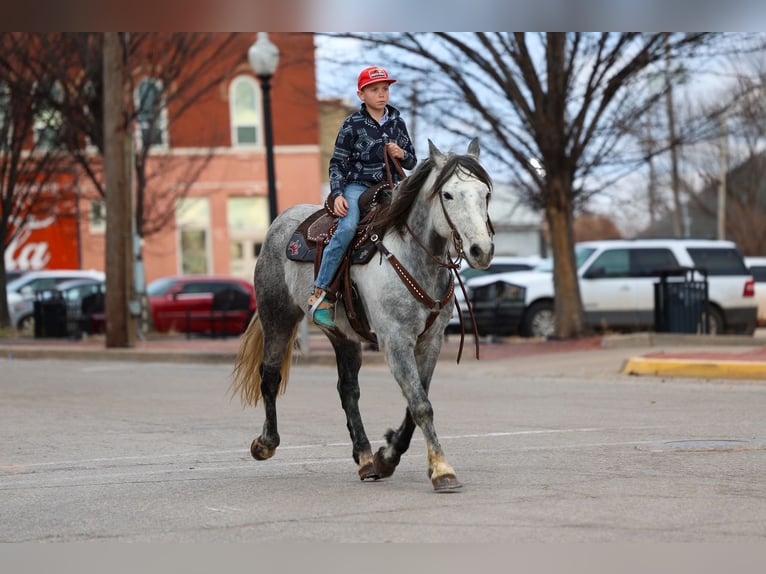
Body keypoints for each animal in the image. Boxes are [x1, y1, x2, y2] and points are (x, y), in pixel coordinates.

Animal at [231, 138, 494, 492]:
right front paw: (441, 469)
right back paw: (265, 443)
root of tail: (281, 221)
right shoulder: (394, 341)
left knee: (348, 390)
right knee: (271, 376)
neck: (412, 257)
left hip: (342, 336)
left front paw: (387, 457)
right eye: (448, 195)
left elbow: (415, 402)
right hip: (278, 317)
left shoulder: (431, 341)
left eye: (485, 193)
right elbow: (421, 405)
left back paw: (366, 456)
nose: (481, 250)